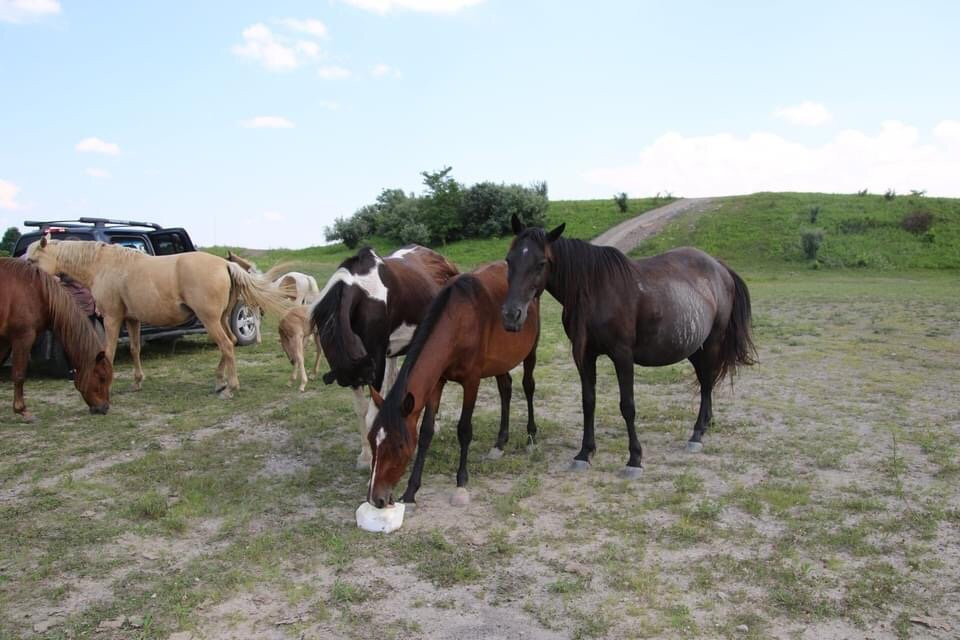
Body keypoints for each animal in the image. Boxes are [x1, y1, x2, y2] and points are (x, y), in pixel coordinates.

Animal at [0, 259, 113, 419]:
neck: (37, 292)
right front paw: (22, 410)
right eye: (102, 378)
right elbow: (19, 374)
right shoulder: (23, 338)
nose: (104, 408)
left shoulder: (4, 341)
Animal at [26, 238, 291, 398]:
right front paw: (137, 382)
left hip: (210, 320)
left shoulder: (112, 318)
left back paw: (230, 387)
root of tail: (225, 264)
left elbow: (108, 352)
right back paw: (220, 382)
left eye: (32, 260)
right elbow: (135, 350)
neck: (103, 265)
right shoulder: (132, 319)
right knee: (230, 344)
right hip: (222, 319)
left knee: (226, 345)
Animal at [366, 260, 540, 508]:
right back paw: (499, 444)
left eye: (398, 445)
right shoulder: (437, 381)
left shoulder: (472, 381)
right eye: (372, 440)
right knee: (505, 388)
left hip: (530, 350)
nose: (376, 499)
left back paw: (531, 436)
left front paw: (461, 482)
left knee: (528, 386)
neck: (458, 320)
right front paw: (410, 491)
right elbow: (426, 431)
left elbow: (464, 430)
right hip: (500, 360)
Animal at [501, 214, 756, 476]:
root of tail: (719, 267)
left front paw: (634, 458)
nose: (511, 315)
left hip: (713, 341)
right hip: (696, 347)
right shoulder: (584, 356)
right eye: (509, 260)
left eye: (541, 263)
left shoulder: (622, 355)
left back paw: (696, 435)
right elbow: (588, 401)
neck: (596, 290)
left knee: (706, 384)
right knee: (708, 379)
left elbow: (627, 406)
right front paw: (585, 452)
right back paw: (707, 423)